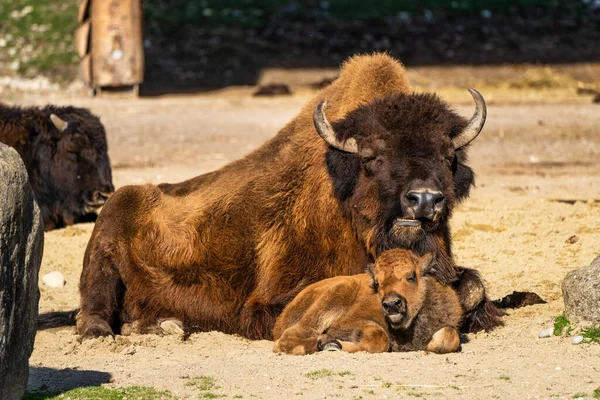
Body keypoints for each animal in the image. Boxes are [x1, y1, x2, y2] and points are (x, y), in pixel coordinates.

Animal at [49, 53, 502, 340]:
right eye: (372, 157)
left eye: (448, 156)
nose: (423, 200)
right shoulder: (269, 300)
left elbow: (472, 287)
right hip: (105, 239)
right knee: (93, 302)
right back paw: (103, 333)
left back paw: (165, 325)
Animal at [274, 248, 462, 354]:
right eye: (377, 283)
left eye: (411, 276)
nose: (391, 304)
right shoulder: (347, 323)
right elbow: (379, 338)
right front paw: (333, 343)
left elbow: (449, 337)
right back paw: (327, 344)